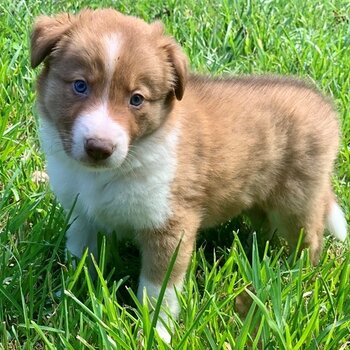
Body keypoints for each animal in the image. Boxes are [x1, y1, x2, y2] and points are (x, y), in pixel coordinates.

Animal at [30, 7, 348, 342]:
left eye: (136, 99)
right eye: (80, 85)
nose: (99, 148)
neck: (113, 170)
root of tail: (322, 103)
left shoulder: (170, 225)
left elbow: (158, 292)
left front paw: (155, 333)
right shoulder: (81, 214)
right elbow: (80, 256)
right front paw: (68, 298)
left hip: (295, 202)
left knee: (310, 240)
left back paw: (296, 279)